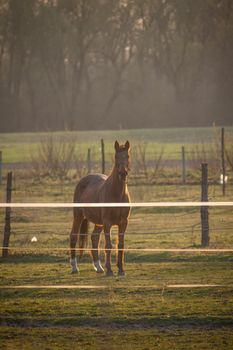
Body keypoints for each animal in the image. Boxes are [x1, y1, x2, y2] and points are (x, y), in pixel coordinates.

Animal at [69, 141, 131, 274]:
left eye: (127, 156)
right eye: (116, 157)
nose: (123, 174)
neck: (117, 194)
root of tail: (83, 179)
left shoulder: (123, 223)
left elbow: (120, 245)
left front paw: (121, 269)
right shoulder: (107, 223)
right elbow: (108, 246)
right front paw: (110, 270)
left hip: (98, 223)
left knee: (94, 238)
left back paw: (98, 267)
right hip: (78, 216)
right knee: (73, 236)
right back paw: (74, 267)